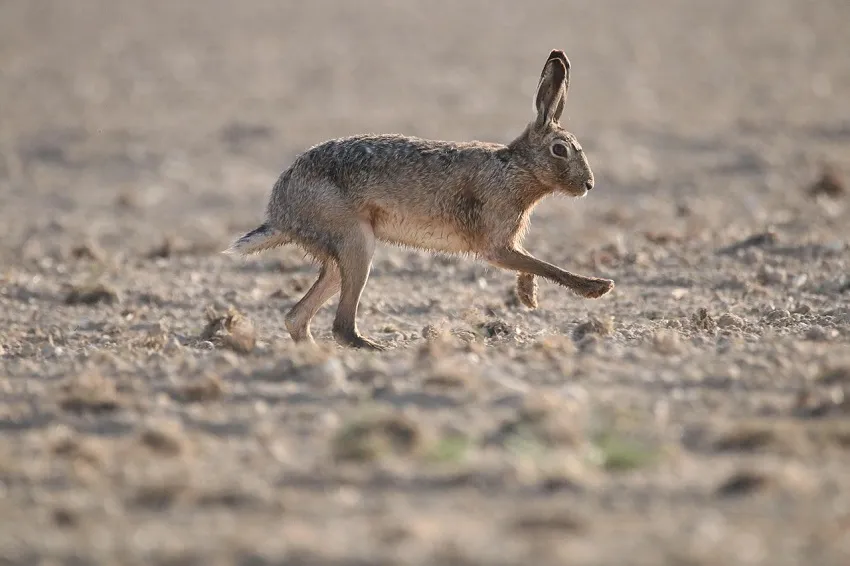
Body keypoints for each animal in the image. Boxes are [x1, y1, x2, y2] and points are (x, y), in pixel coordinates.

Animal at [225, 49, 614, 350]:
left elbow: (531, 265)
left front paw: (528, 297)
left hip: (341, 257)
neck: (517, 167)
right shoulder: (496, 245)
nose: (589, 184)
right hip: (355, 242)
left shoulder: (508, 244)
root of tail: (280, 210)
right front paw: (597, 288)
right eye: (560, 150)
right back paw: (375, 350)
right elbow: (543, 265)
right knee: (341, 326)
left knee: (297, 317)